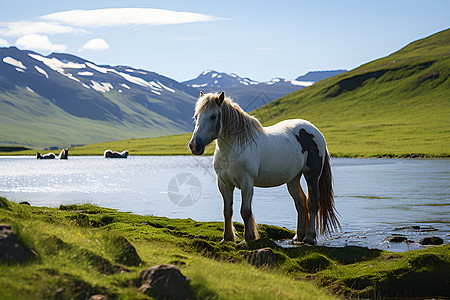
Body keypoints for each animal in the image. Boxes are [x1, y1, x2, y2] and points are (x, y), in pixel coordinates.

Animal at [188, 91, 340, 244]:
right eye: (196, 116)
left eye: (213, 116)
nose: (194, 145)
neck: (233, 148)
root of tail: (315, 131)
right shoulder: (224, 183)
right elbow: (227, 211)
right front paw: (227, 239)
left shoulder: (246, 183)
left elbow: (245, 211)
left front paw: (248, 238)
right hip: (293, 179)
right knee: (301, 203)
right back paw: (298, 237)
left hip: (312, 176)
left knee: (313, 203)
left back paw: (309, 237)